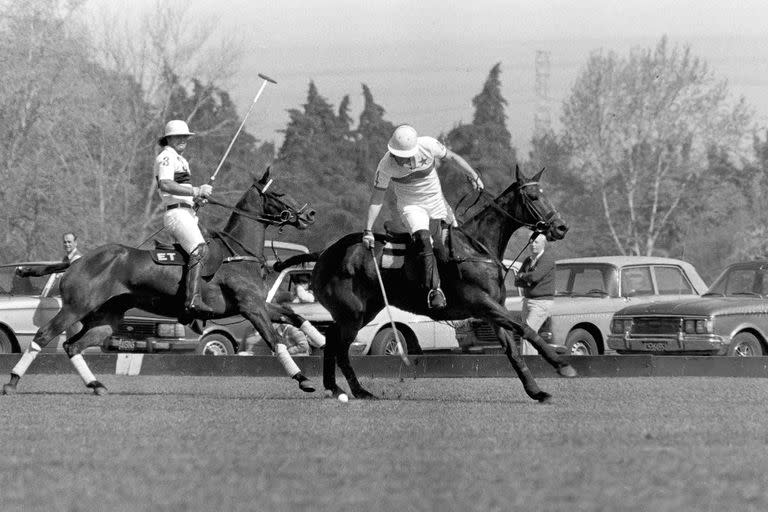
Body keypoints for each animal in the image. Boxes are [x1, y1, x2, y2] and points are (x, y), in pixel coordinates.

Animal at [2, 170, 316, 394]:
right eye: (278, 192)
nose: (309, 214)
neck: (237, 251)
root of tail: (77, 261)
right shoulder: (250, 306)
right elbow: (275, 341)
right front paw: (304, 379)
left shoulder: (254, 305)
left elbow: (293, 314)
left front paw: (321, 338)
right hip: (75, 307)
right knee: (43, 336)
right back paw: (12, 382)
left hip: (107, 318)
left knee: (72, 346)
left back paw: (96, 385)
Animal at [284, 166, 572, 402]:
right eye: (533, 197)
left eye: (544, 194)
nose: (561, 227)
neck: (476, 247)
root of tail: (324, 253)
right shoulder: (482, 303)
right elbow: (526, 328)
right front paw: (561, 364)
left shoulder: (492, 311)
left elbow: (513, 350)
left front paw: (536, 391)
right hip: (352, 313)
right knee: (340, 347)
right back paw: (355, 390)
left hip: (364, 311)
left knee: (332, 340)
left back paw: (337, 388)